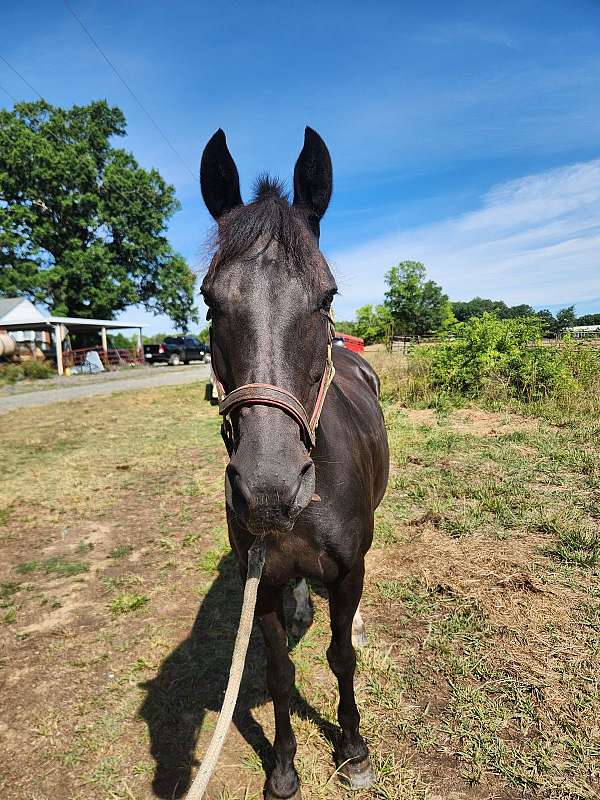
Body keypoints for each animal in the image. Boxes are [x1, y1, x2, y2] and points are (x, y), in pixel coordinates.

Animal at [199, 126, 389, 799]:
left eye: (326, 295)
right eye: (209, 301)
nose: (268, 489)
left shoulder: (350, 569)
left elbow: (340, 658)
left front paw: (354, 749)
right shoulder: (260, 582)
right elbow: (279, 674)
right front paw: (283, 767)